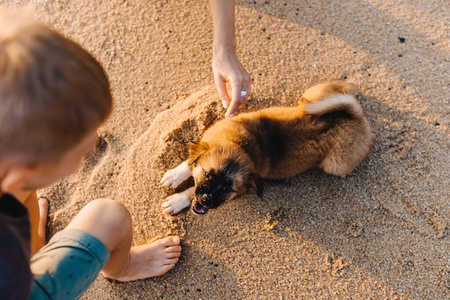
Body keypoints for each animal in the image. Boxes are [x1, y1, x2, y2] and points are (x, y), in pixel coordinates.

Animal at [160, 81, 374, 214]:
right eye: (207, 174)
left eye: (227, 187)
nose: (205, 201)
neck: (242, 144)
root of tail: (355, 116)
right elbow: (190, 162)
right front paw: (174, 175)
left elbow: (192, 189)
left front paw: (178, 200)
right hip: (314, 96)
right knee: (345, 89)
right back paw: (353, 90)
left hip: (334, 165)